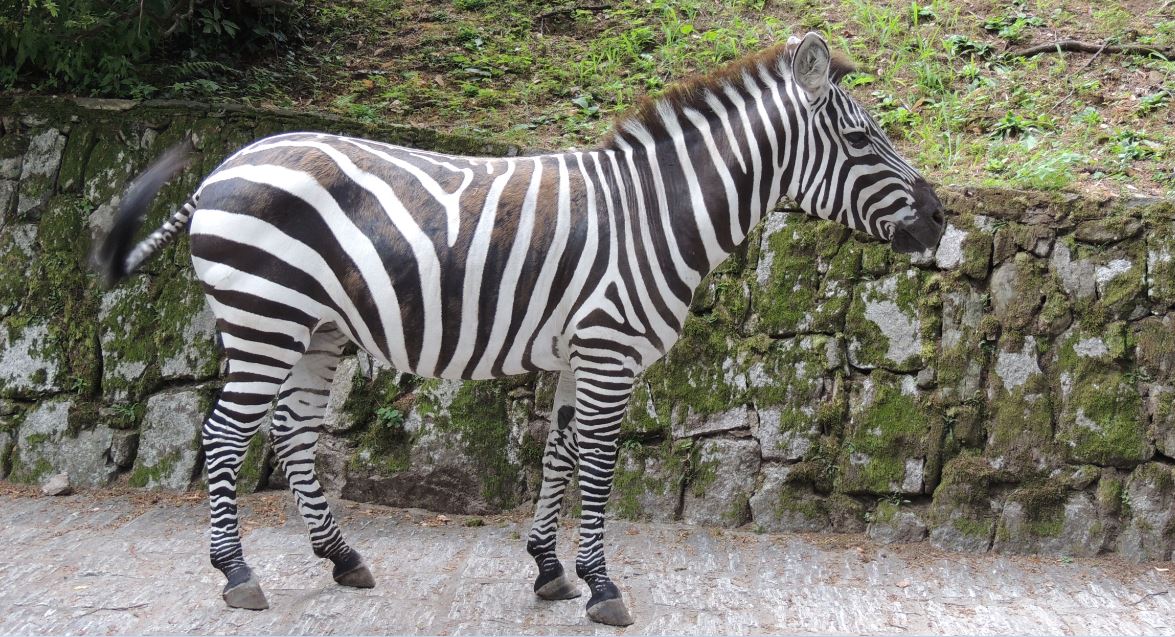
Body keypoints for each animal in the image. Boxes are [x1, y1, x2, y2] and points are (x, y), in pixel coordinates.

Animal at [93, 32, 944, 626]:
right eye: (861, 140)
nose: (939, 218)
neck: (654, 215)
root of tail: (223, 163)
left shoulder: (579, 350)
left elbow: (560, 451)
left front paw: (549, 569)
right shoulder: (609, 348)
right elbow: (597, 462)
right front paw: (600, 583)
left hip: (317, 327)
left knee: (293, 430)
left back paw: (342, 558)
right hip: (265, 315)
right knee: (224, 433)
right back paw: (237, 573)